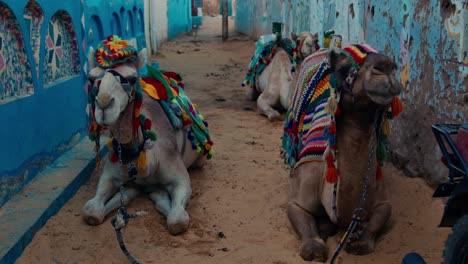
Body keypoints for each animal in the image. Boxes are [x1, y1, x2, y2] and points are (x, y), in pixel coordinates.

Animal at [82, 35, 212, 235]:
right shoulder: (110, 174)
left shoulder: (180, 177)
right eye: (90, 78)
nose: (104, 104)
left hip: (200, 157)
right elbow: (91, 211)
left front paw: (159, 195)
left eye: (132, 78)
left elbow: (178, 220)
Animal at [282, 44, 402, 260]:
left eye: (394, 66)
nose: (385, 67)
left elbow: (380, 216)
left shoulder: (381, 197)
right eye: (343, 69)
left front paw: (360, 241)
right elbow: (304, 222)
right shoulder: (300, 195)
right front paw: (315, 245)